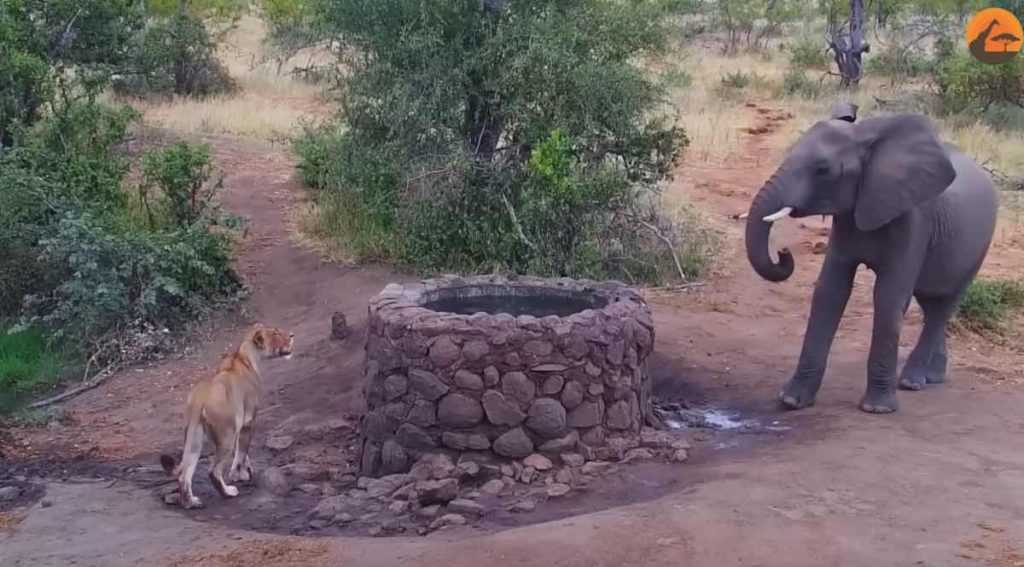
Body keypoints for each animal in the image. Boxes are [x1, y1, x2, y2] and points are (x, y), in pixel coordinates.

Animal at [160, 324, 294, 508]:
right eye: (275, 333)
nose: (292, 335)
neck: (244, 356)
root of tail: (199, 400)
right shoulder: (248, 421)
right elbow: (242, 451)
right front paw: (240, 475)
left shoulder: (240, 424)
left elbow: (242, 451)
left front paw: (245, 471)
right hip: (226, 437)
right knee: (213, 470)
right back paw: (228, 493)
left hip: (194, 438)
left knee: (184, 474)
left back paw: (191, 502)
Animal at [744, 102, 999, 414]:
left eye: (822, 170)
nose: (783, 253)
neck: (866, 140)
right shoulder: (846, 219)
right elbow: (830, 291)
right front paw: (792, 400)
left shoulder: (914, 220)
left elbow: (888, 296)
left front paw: (877, 409)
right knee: (929, 303)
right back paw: (933, 377)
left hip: (980, 245)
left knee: (943, 307)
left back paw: (912, 381)